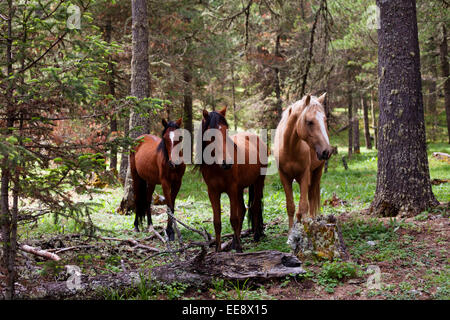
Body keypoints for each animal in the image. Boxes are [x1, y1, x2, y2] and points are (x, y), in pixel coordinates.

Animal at [197, 107, 268, 252]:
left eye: (226, 130)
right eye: (211, 134)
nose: (227, 163)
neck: (217, 168)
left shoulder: (231, 189)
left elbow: (233, 219)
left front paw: (240, 250)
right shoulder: (213, 192)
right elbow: (217, 222)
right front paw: (218, 250)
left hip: (258, 182)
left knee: (255, 207)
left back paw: (256, 236)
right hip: (240, 189)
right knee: (243, 210)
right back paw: (235, 242)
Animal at [272, 93, 332, 230]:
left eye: (325, 120)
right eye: (309, 122)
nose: (326, 151)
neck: (290, 148)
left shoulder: (304, 175)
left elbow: (304, 205)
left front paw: (306, 230)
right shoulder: (284, 177)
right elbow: (290, 206)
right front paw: (290, 232)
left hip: (316, 172)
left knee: (311, 198)